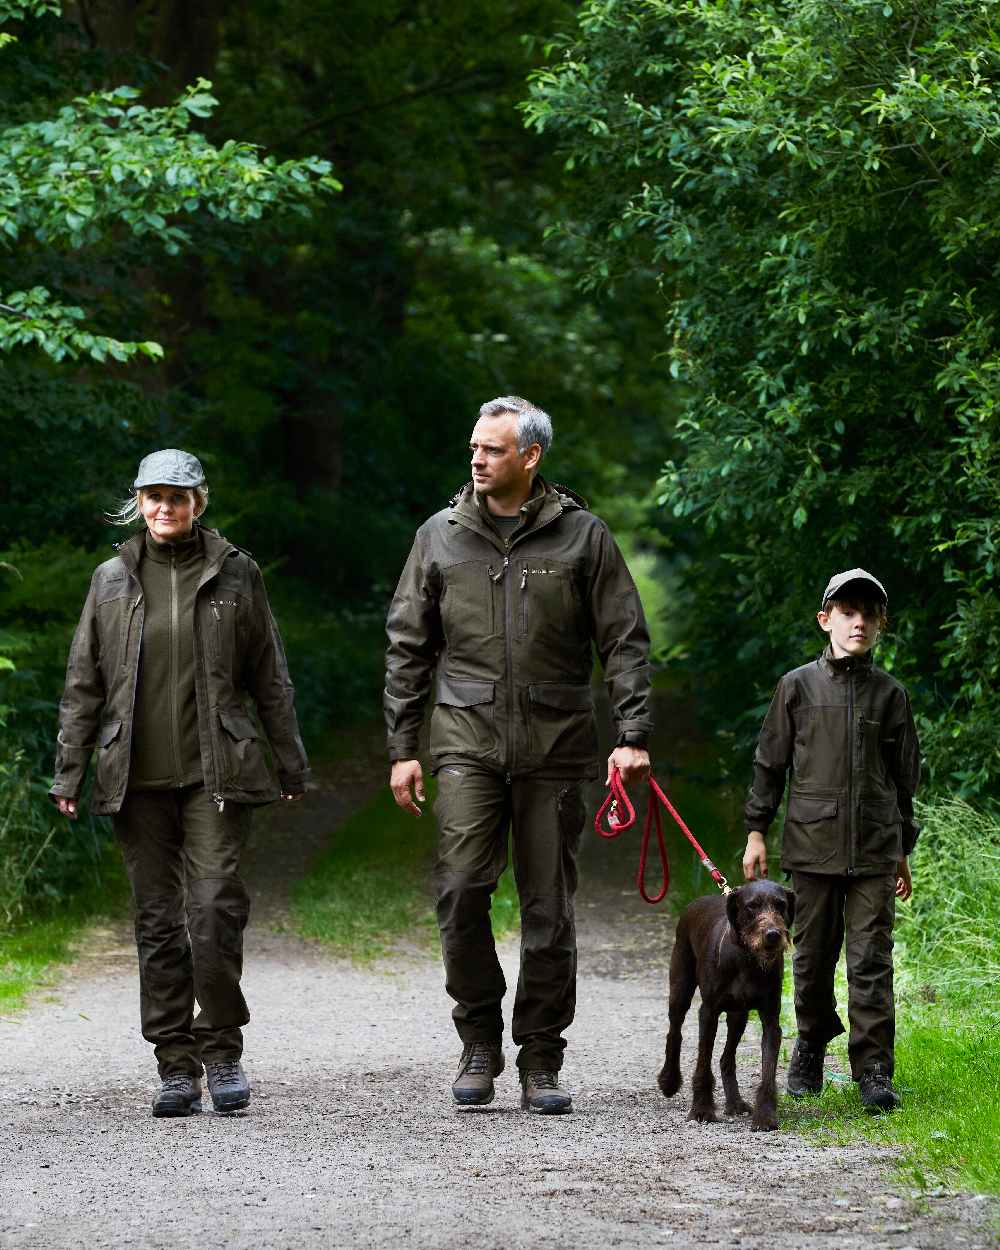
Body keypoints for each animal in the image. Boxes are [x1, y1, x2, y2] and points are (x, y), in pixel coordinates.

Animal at [660, 880, 795, 1135]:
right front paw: (702, 1110)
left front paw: (765, 1115)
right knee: (674, 1032)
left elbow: (768, 1072)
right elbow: (703, 1064)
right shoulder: (709, 1013)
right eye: (752, 906)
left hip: (738, 1015)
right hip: (680, 988)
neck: (747, 959)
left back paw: (735, 1102)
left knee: (726, 1058)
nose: (773, 935)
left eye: (781, 905)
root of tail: (695, 902)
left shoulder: (771, 1021)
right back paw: (669, 1080)